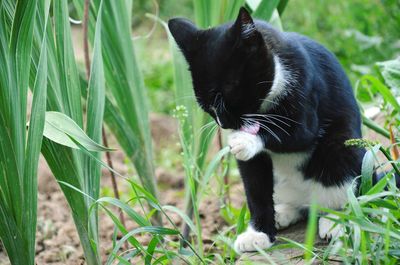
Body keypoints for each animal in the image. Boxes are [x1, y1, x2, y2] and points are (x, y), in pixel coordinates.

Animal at [169, 7, 366, 252]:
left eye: (229, 93)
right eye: (205, 105)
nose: (225, 124)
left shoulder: (306, 90)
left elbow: (299, 133)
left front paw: (245, 140)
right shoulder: (252, 166)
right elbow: (255, 188)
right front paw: (259, 233)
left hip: (343, 146)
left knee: (342, 179)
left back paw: (335, 220)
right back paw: (284, 213)